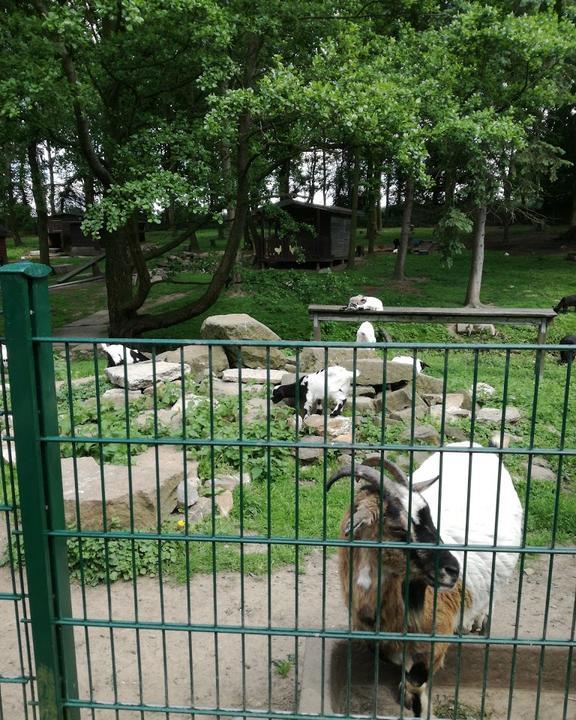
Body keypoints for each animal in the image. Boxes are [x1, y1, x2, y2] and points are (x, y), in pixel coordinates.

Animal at [328, 442, 520, 716]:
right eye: (397, 528)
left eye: (430, 517)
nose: (453, 569)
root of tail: (480, 447)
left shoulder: (436, 638)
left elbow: (415, 685)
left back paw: (476, 621)